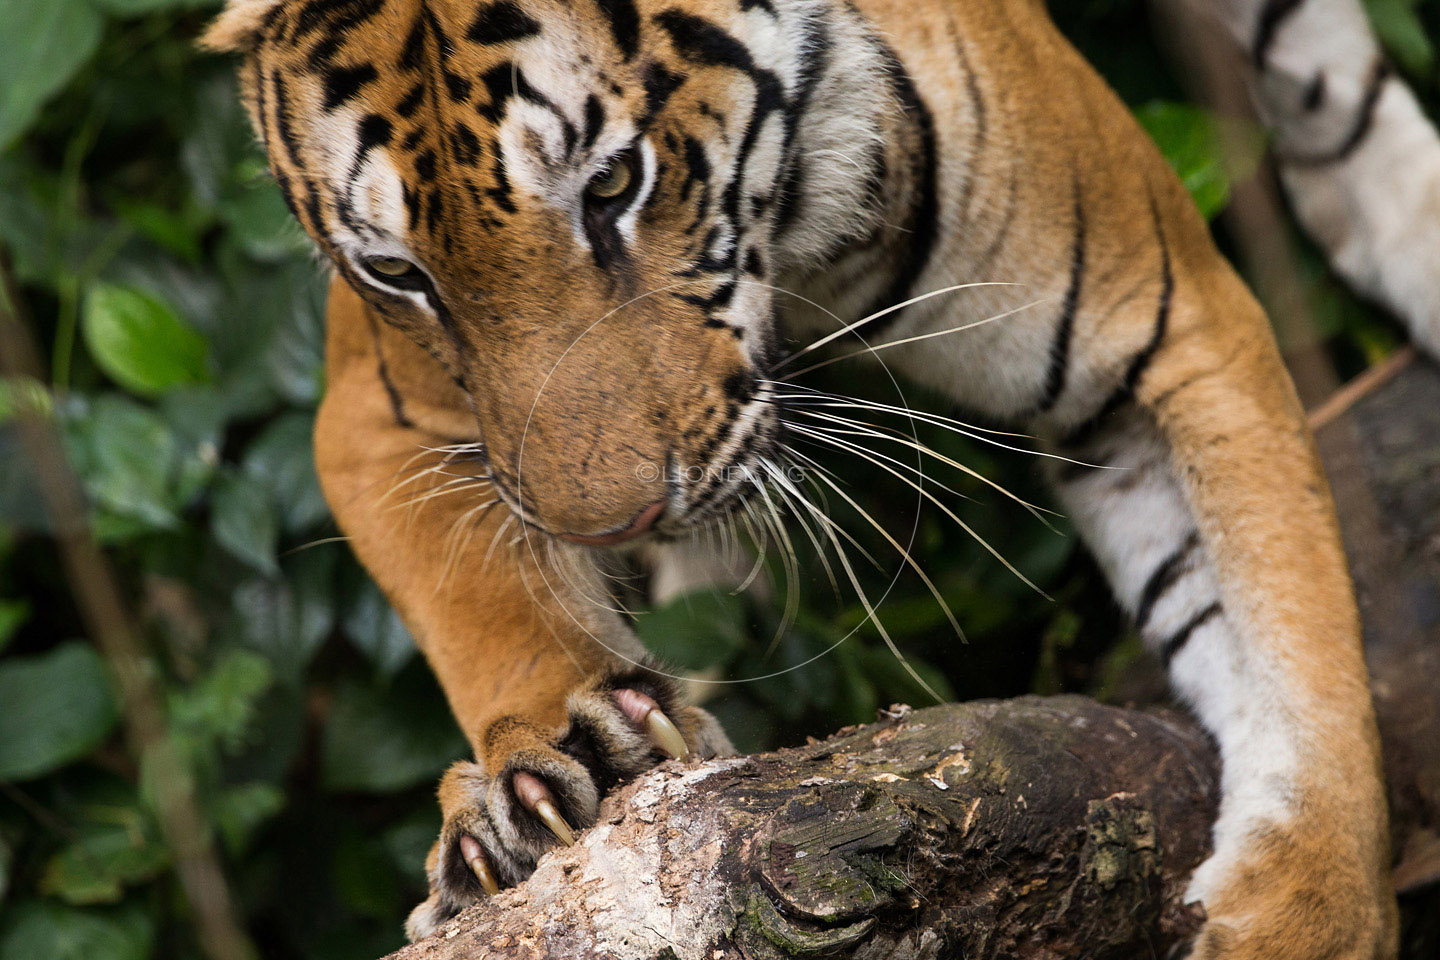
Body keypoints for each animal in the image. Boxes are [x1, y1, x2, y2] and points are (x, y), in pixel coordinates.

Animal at [200, 0, 1416, 955]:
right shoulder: (374, 418)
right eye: (397, 272)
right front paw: (546, 780)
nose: (615, 527)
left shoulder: (1171, 325)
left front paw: (1312, 906)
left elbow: (1293, 624)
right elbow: (488, 606)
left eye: (614, 182)